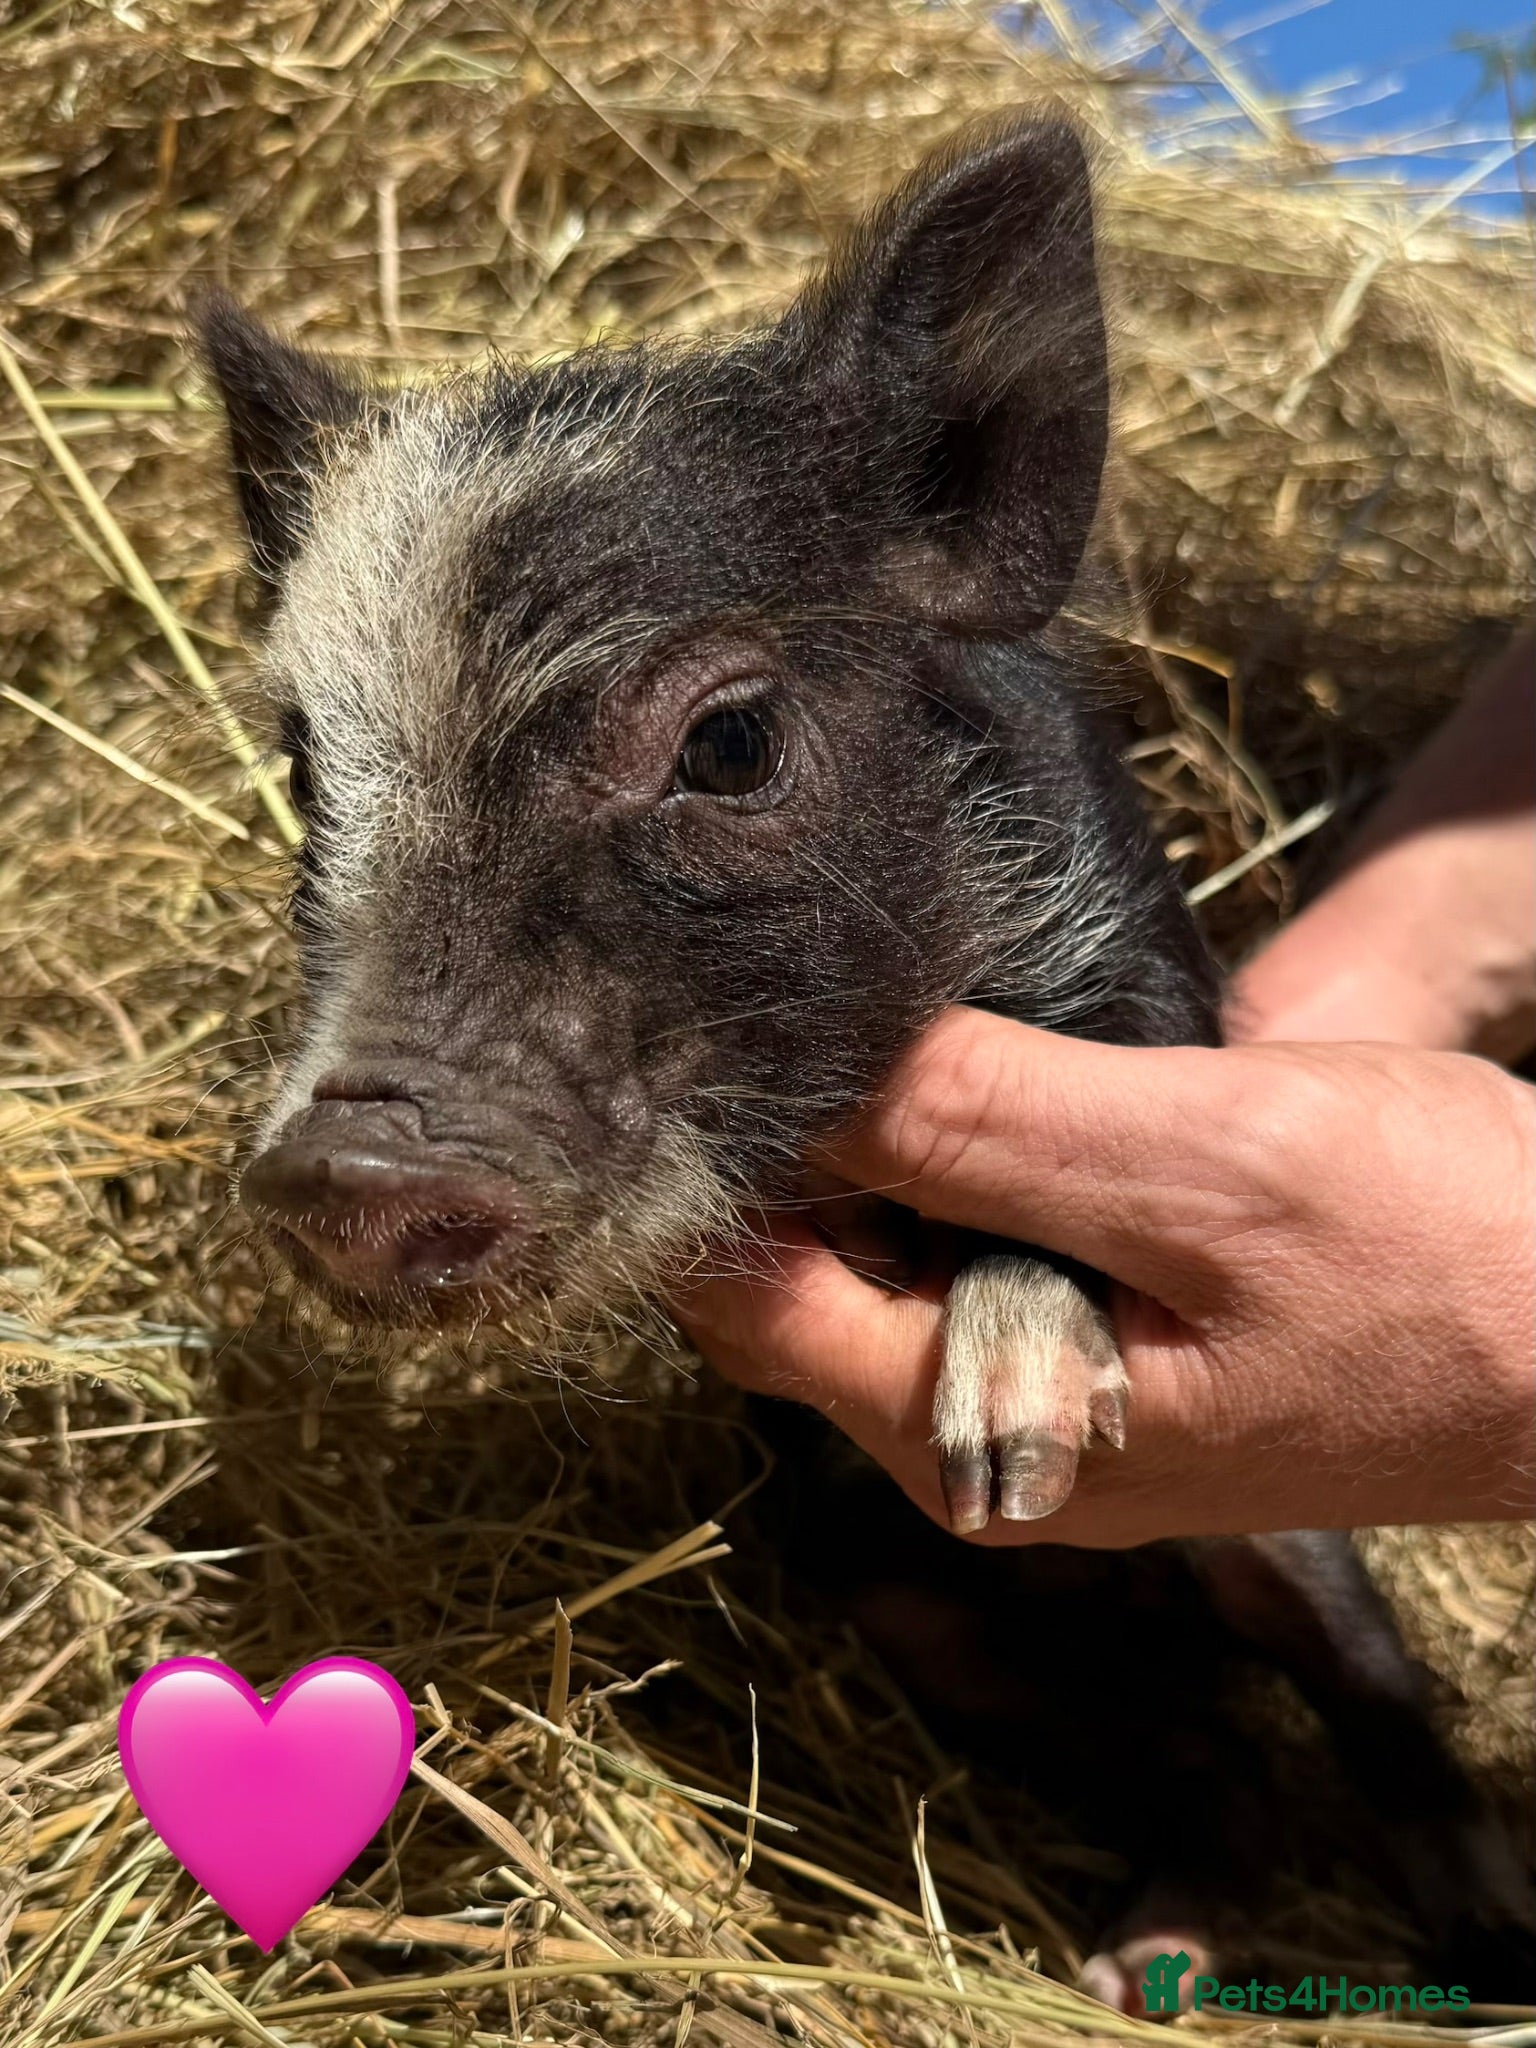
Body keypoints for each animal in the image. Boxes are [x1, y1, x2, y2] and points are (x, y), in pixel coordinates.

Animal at [201, 117, 1534, 2001]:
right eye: (310, 772)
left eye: (731, 741)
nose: (344, 1157)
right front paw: (1004, 1474)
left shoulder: (1141, 974)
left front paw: (1018, 1438)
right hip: (905, 1598)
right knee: (1205, 1757)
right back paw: (1139, 1959)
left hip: (1283, 1541)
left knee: (1373, 1687)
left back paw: (1478, 1918)